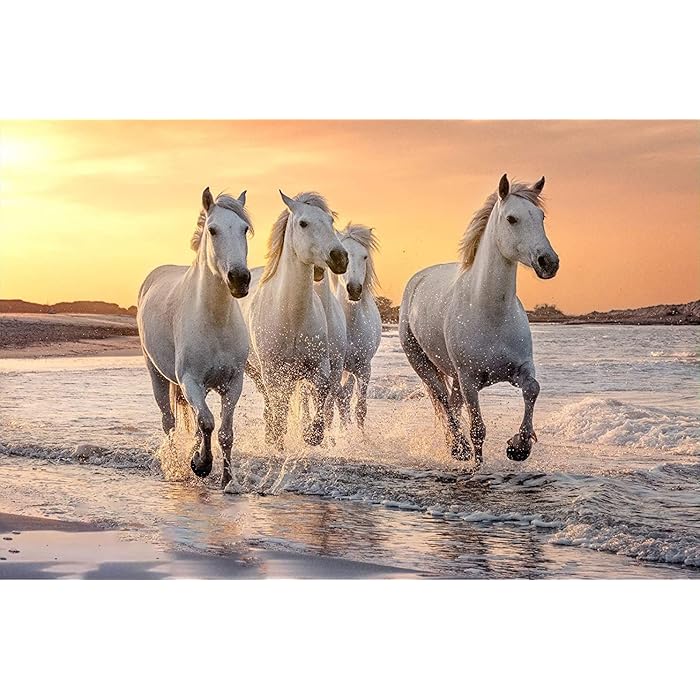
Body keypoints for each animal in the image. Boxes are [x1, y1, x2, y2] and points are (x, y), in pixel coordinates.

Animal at [137, 188, 252, 488]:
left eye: (244, 229)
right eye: (213, 230)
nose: (239, 279)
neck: (214, 321)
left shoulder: (233, 383)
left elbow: (224, 432)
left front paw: (227, 480)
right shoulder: (190, 380)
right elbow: (208, 422)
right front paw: (201, 465)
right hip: (157, 374)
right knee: (169, 422)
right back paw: (177, 464)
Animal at [240, 191, 348, 450]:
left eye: (330, 221)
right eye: (303, 223)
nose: (340, 257)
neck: (292, 317)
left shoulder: (319, 367)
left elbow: (322, 394)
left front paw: (311, 435)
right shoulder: (272, 372)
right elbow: (279, 407)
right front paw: (278, 440)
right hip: (256, 370)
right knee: (270, 401)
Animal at [399, 174, 559, 465]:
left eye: (541, 216)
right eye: (511, 219)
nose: (548, 262)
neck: (490, 314)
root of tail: (417, 280)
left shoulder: (520, 369)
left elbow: (533, 389)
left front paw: (519, 447)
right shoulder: (470, 380)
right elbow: (478, 430)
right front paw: (478, 463)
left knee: (451, 404)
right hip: (423, 364)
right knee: (443, 400)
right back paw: (458, 447)